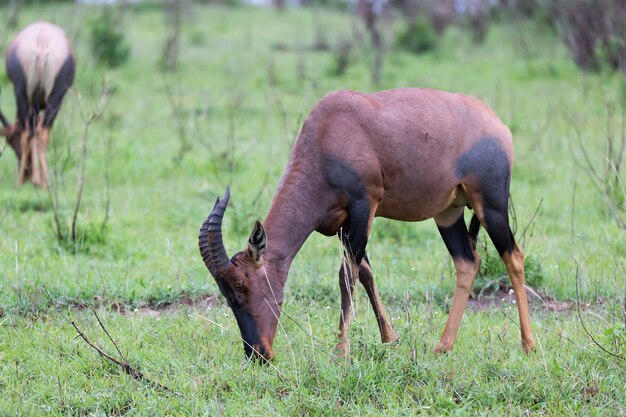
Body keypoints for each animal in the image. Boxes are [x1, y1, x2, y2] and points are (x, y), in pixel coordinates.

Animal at [0, 21, 75, 187]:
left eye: (10, 140)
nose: (26, 168)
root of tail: (41, 46)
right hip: (56, 96)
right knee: (41, 132)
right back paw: (44, 182)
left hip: (22, 93)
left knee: (29, 132)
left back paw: (23, 182)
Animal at [197, 88, 532, 360]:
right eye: (227, 295)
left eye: (242, 285)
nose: (258, 354)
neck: (332, 129)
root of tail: (498, 124)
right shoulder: (342, 224)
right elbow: (366, 273)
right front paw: (390, 339)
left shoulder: (363, 207)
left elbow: (347, 276)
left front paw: (340, 352)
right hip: (448, 212)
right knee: (467, 262)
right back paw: (443, 346)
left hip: (490, 204)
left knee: (513, 256)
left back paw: (528, 345)